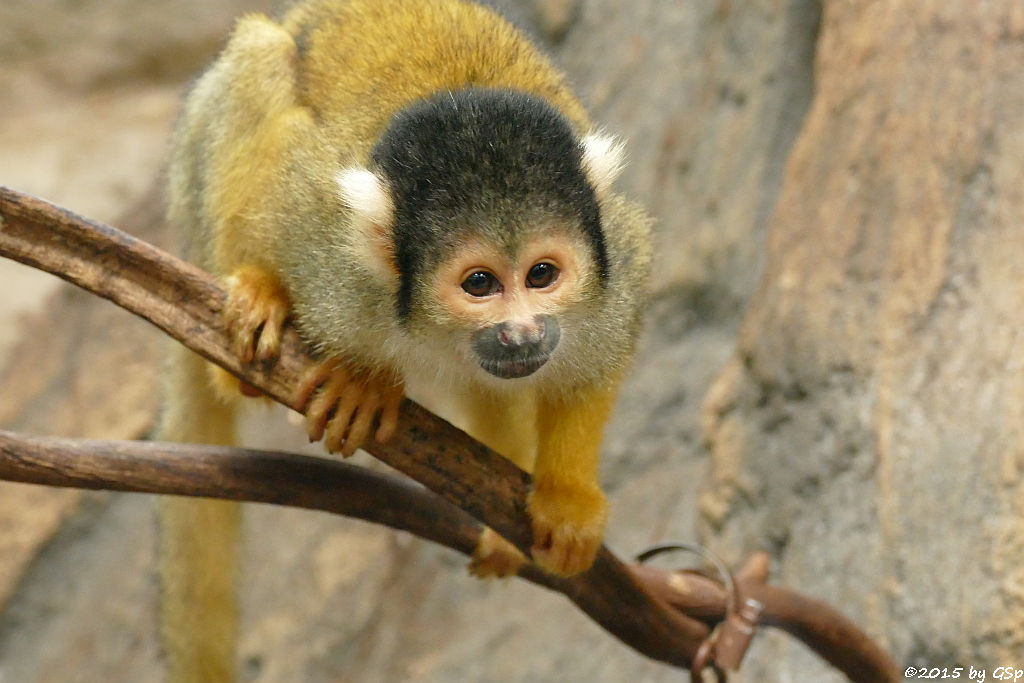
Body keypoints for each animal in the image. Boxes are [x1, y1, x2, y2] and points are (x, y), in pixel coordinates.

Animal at [162, 0, 651, 679]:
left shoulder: (616, 259)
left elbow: (595, 362)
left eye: (542, 275)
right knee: (261, 58)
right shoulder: (329, 244)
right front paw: (364, 380)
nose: (523, 331)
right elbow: (288, 202)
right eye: (479, 283)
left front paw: (567, 496)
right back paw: (257, 298)